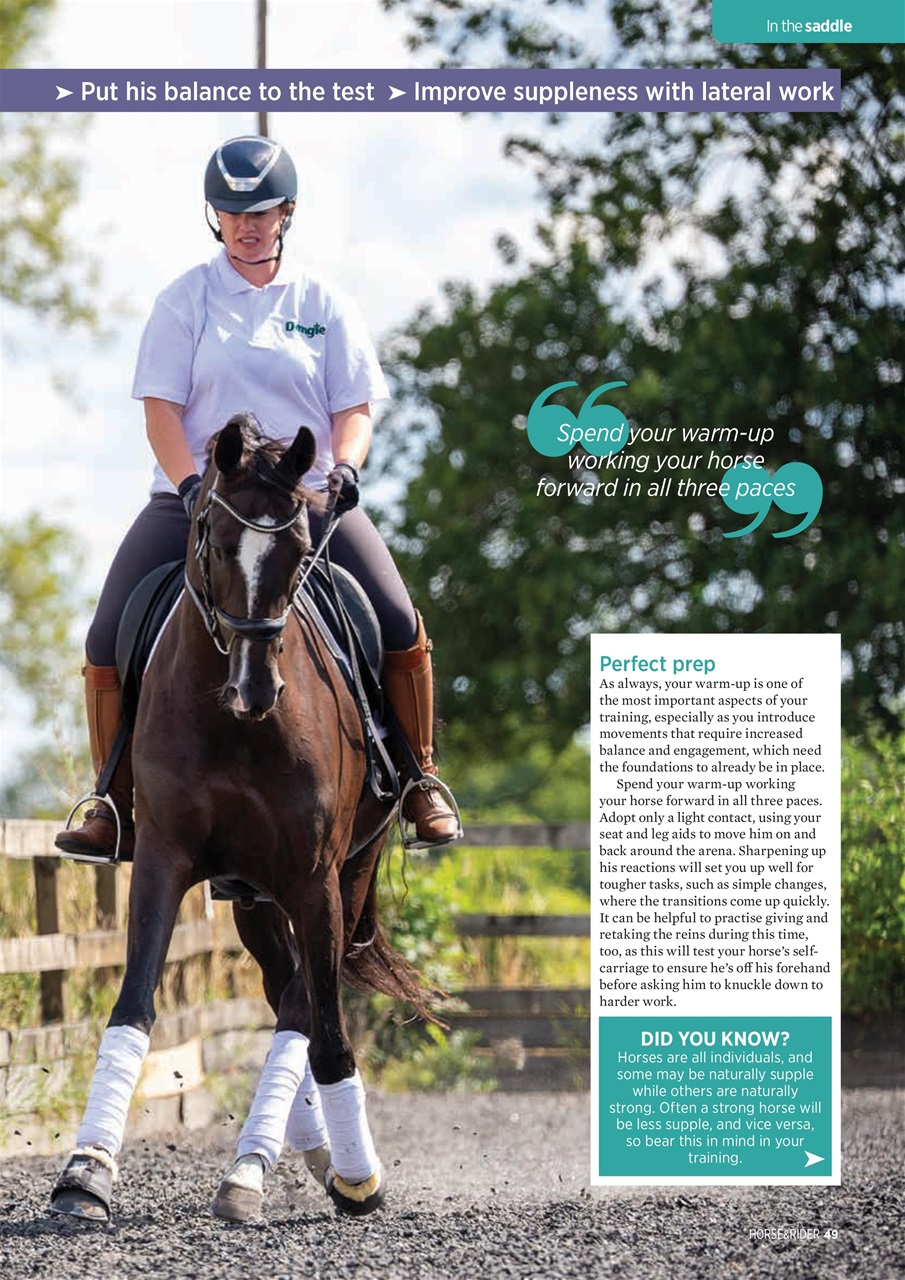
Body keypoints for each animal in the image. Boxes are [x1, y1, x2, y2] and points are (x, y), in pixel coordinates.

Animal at [50, 413, 432, 1223]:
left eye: (297, 555)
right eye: (217, 543)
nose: (255, 688)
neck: (232, 724)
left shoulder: (316, 877)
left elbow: (323, 1027)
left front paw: (356, 1178)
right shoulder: (163, 859)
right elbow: (132, 1006)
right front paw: (85, 1173)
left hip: (345, 873)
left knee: (302, 1006)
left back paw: (283, 1163)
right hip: (252, 899)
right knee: (284, 988)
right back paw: (285, 1153)